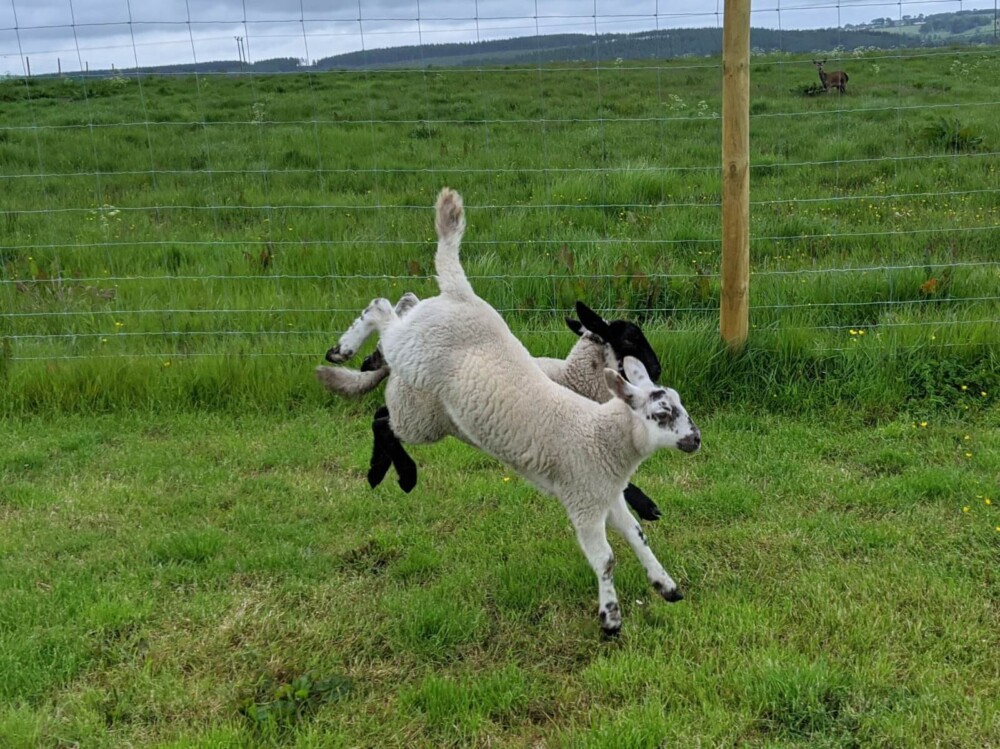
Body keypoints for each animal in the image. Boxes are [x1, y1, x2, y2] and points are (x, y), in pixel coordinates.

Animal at [324, 188, 700, 636]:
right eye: (630, 338)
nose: (656, 368)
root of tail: (460, 292)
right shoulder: (585, 494)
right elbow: (609, 551)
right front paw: (611, 615)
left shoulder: (603, 487)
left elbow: (635, 530)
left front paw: (663, 582)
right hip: (415, 375)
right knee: (381, 314)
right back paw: (348, 358)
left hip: (418, 380)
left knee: (396, 331)